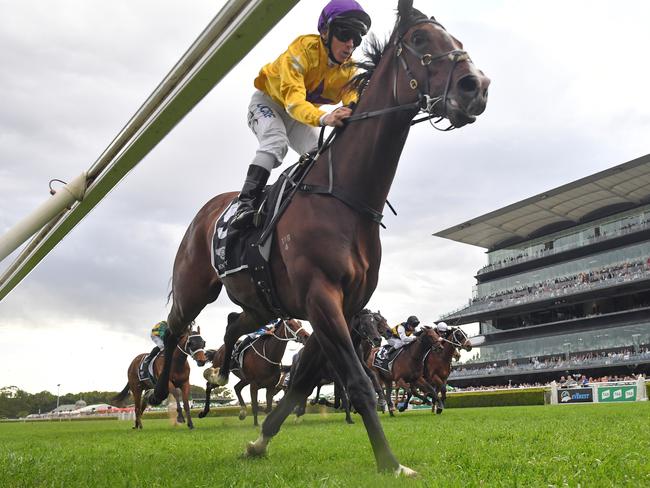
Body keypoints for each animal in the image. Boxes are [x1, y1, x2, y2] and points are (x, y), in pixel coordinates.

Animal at [151, 0, 486, 472]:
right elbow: (358, 382)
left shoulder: (339, 306)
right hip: (195, 285)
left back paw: (218, 368)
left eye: (455, 39)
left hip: (260, 298)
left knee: (235, 321)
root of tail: (207, 212)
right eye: (420, 39)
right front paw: (389, 462)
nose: (477, 87)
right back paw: (162, 390)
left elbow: (299, 384)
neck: (346, 198)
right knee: (176, 329)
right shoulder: (321, 296)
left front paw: (259, 441)